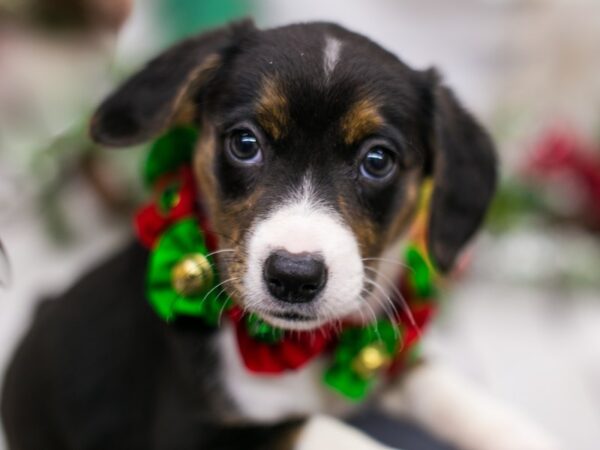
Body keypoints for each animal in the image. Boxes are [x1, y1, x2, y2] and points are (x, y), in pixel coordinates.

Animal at [1, 20, 556, 450]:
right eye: (245, 143)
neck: (298, 349)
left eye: (378, 160)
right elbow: (324, 432)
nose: (293, 276)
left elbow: (448, 390)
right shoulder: (193, 432)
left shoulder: (381, 358)